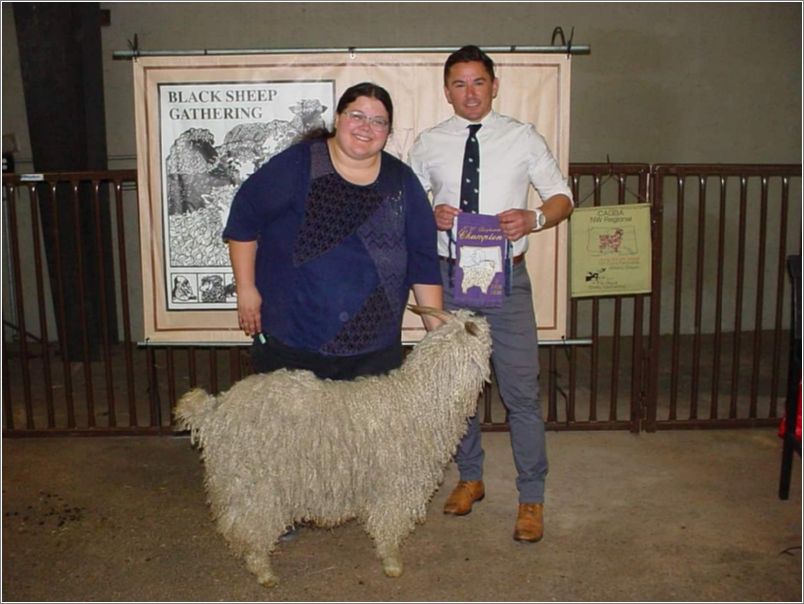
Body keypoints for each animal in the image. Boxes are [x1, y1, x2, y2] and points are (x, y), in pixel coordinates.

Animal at [173, 306, 494, 584]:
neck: (420, 398)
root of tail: (215, 411)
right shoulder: (395, 485)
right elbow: (389, 525)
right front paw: (392, 563)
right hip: (255, 485)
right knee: (252, 528)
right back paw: (264, 571)